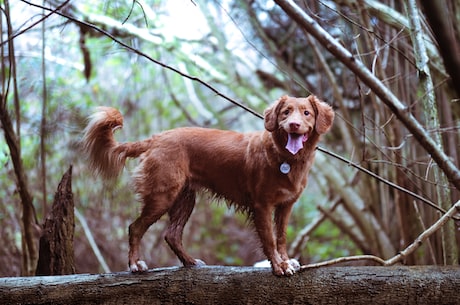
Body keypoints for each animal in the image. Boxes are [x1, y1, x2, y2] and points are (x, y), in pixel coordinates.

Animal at [82, 94, 334, 274]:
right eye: (285, 112)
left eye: (306, 113)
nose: (294, 125)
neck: (284, 158)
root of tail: (157, 138)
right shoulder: (262, 205)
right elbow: (270, 239)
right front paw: (279, 266)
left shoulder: (285, 205)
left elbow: (281, 237)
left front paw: (286, 261)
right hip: (163, 195)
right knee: (135, 228)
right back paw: (135, 264)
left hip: (185, 199)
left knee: (171, 234)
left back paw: (190, 262)